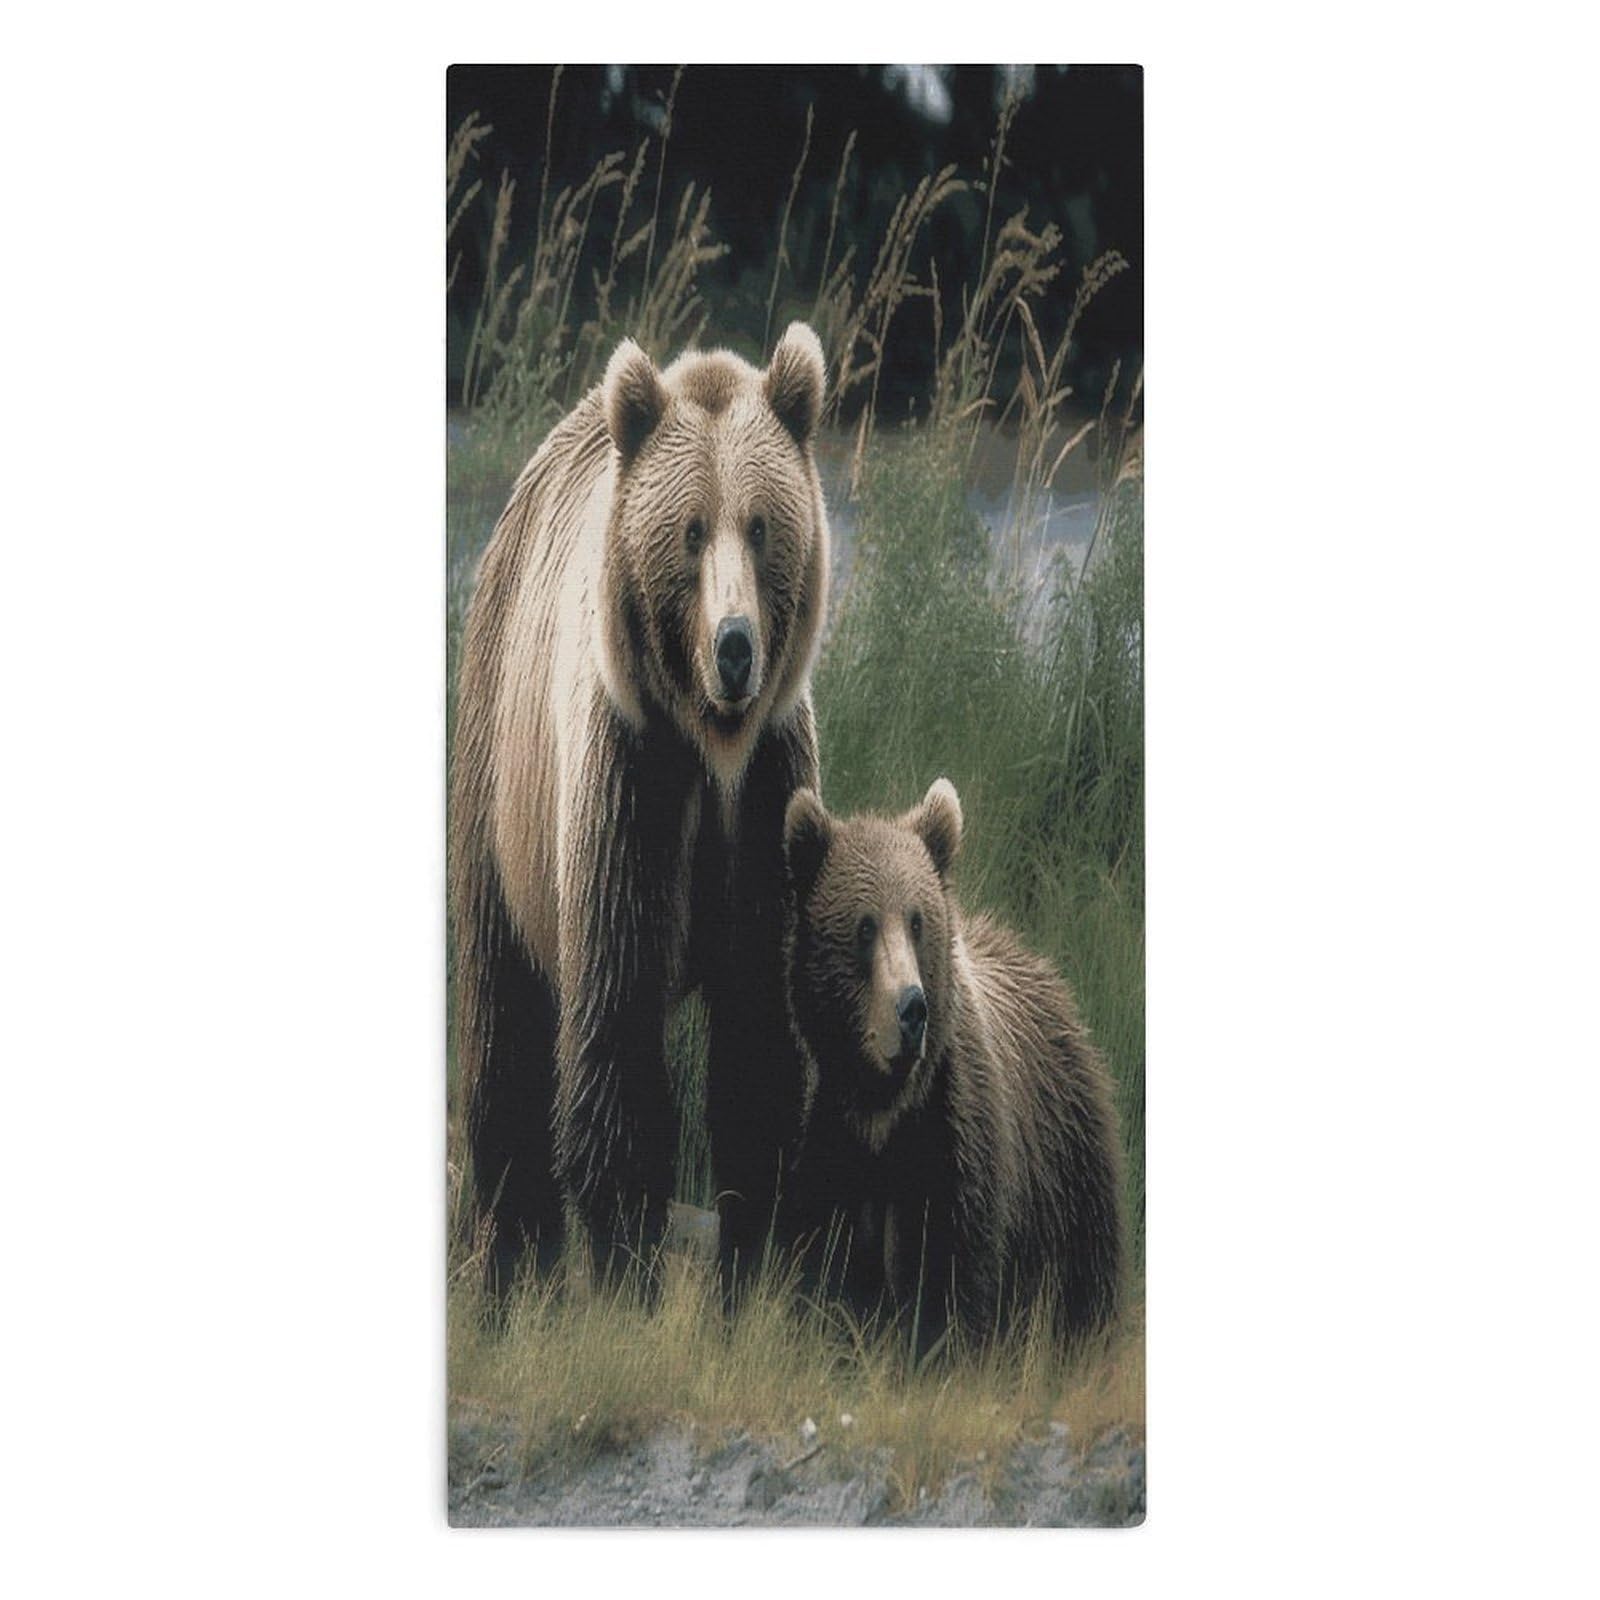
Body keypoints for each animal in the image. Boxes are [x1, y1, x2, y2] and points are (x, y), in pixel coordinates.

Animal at [450, 324, 832, 1289]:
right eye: (691, 530)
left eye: (761, 525)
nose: (735, 647)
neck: (710, 744)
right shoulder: (634, 775)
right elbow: (614, 1018)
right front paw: (624, 1244)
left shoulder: (768, 796)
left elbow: (759, 1032)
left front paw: (753, 1253)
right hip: (500, 778)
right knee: (503, 1013)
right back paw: (511, 1239)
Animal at [780, 779, 1125, 1347]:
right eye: (864, 927)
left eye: (917, 921)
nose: (911, 1008)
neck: (885, 1113)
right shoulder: (831, 1143)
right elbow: (823, 1272)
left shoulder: (953, 1146)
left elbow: (950, 1284)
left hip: (1068, 1174)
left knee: (1083, 1284)